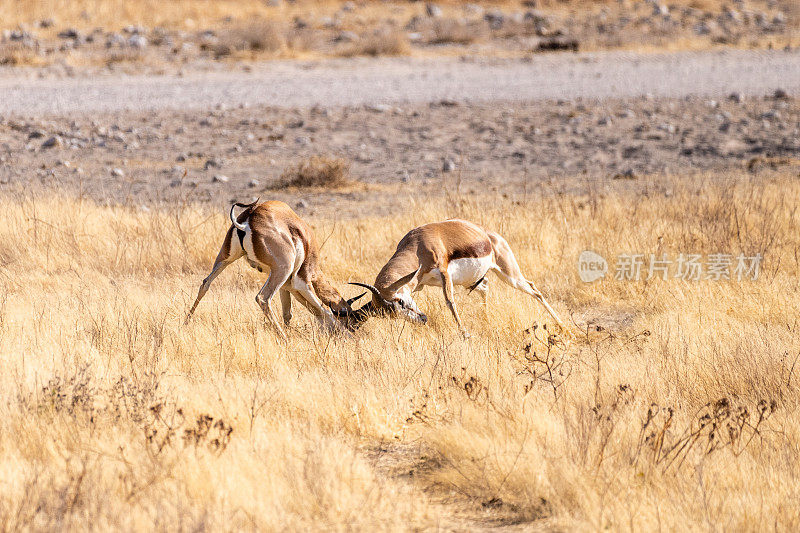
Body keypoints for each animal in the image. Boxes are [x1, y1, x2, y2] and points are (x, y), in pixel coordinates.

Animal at [186, 200, 364, 336]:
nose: (353, 329)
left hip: (227, 258)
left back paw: (185, 323)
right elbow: (322, 309)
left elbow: (290, 313)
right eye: (348, 314)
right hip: (282, 269)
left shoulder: (287, 285)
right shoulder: (301, 281)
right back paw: (283, 338)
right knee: (262, 298)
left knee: (205, 283)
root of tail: (249, 218)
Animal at [352, 219, 568, 336]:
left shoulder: (444, 274)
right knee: (485, 286)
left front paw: (465, 334)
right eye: (390, 314)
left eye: (400, 301)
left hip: (510, 276)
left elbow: (450, 302)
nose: (422, 319)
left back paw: (563, 326)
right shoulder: (419, 284)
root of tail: (490, 235)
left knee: (534, 289)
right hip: (472, 281)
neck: (418, 246)